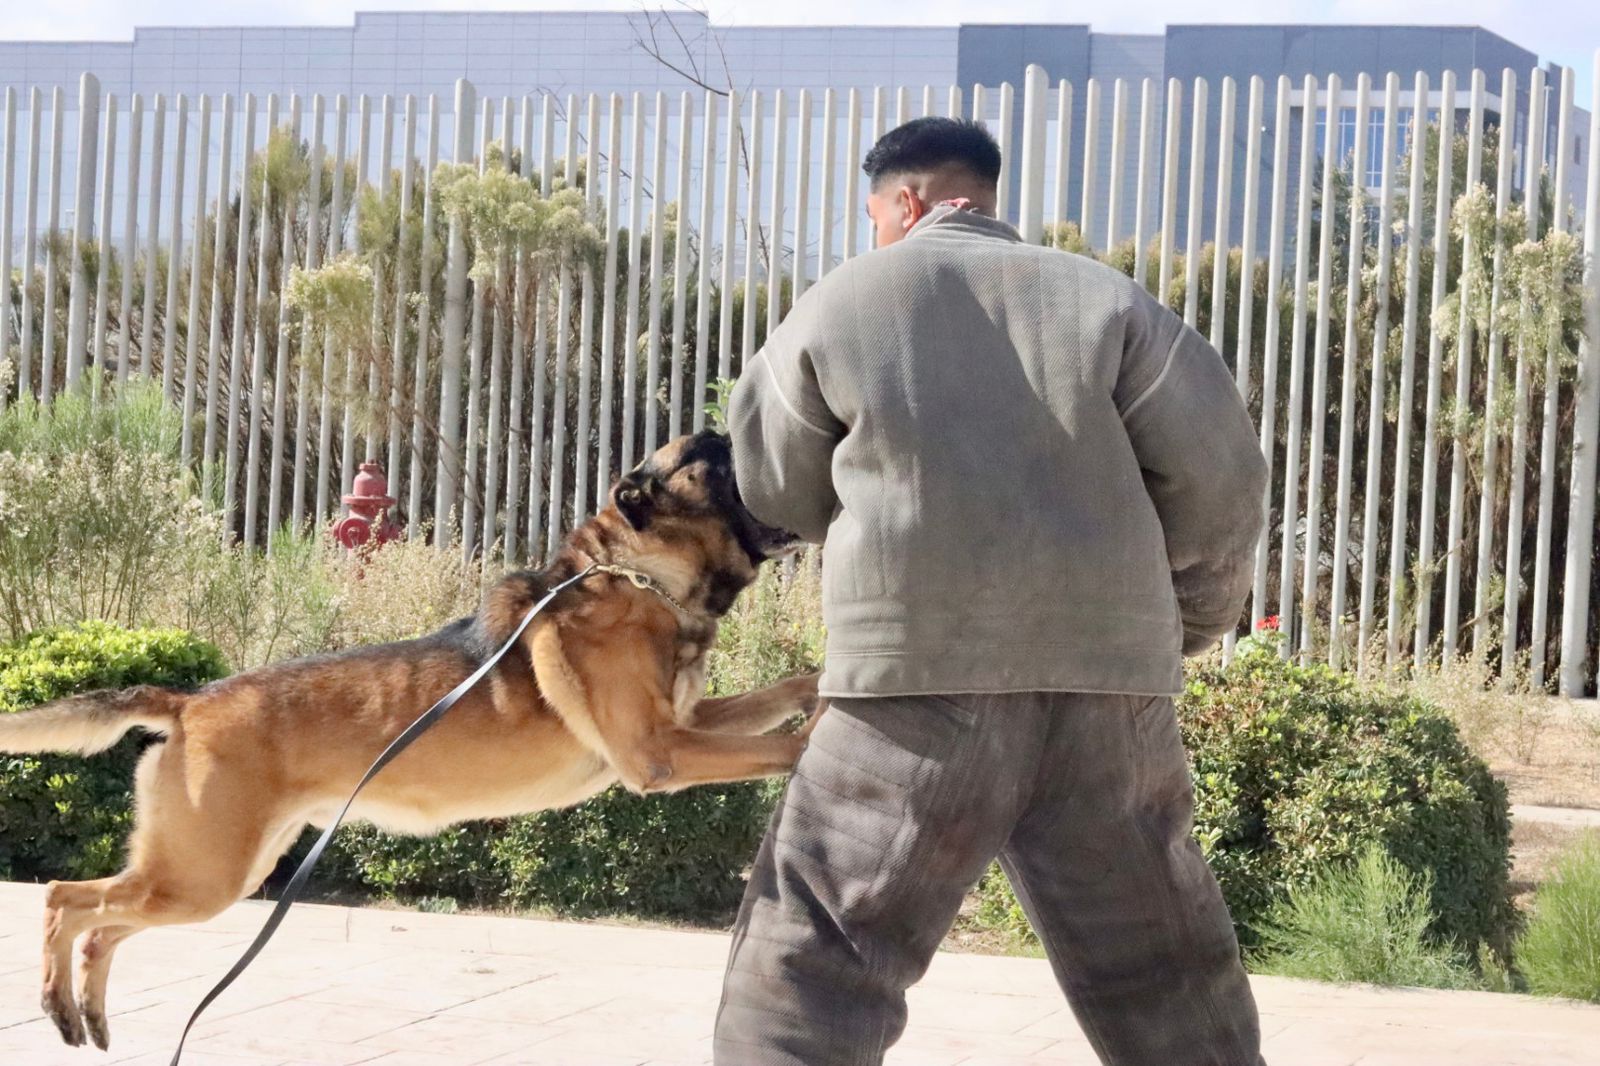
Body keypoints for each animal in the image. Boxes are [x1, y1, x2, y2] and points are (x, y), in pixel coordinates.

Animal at [0, 428, 825, 1043]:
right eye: (707, 455)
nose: (737, 424)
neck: (637, 575)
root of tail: (188, 700)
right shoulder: (662, 753)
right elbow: (778, 745)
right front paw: (809, 741)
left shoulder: (685, 726)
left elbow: (780, 695)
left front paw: (818, 686)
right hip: (202, 877)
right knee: (65, 900)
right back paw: (58, 1001)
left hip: (214, 871)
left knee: (98, 923)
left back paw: (84, 1013)